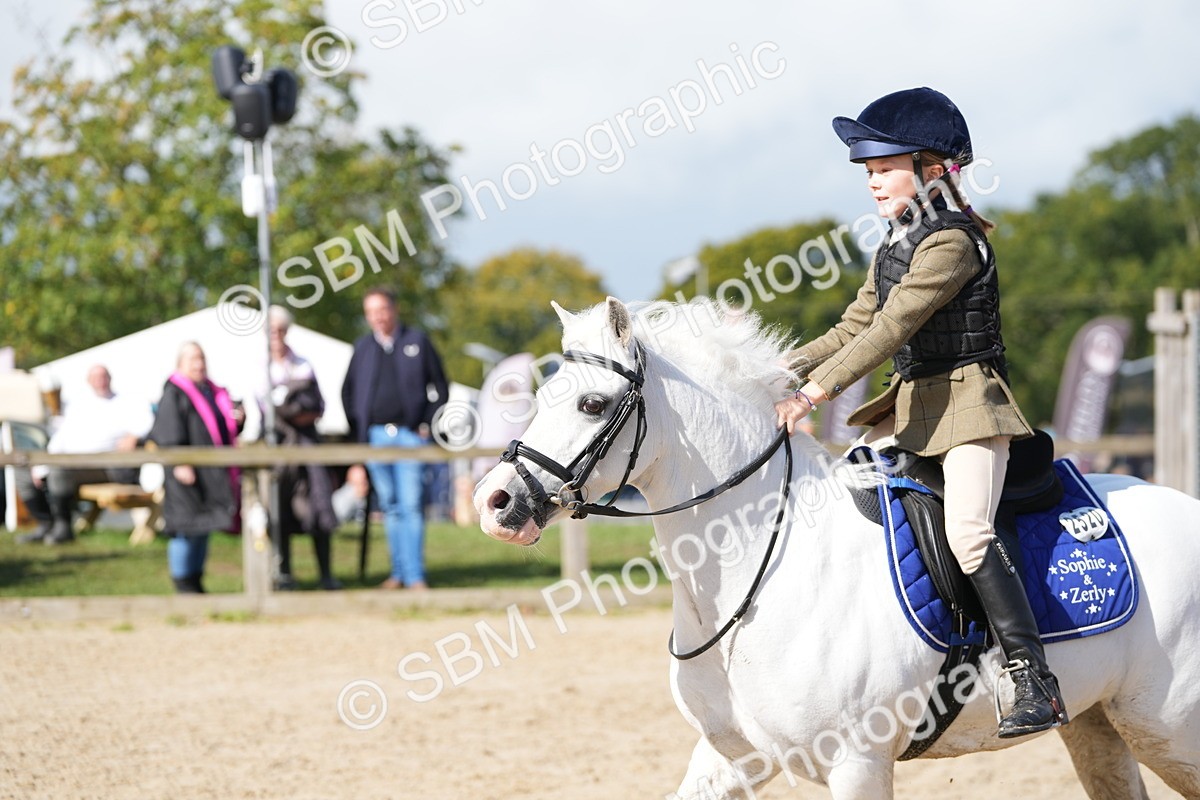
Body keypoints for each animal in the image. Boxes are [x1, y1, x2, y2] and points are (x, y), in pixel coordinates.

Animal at [473, 297, 1200, 799]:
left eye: (594, 405)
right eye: (540, 395)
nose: (495, 501)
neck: (757, 568)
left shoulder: (857, 763)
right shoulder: (733, 759)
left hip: (1169, 726)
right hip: (1098, 724)